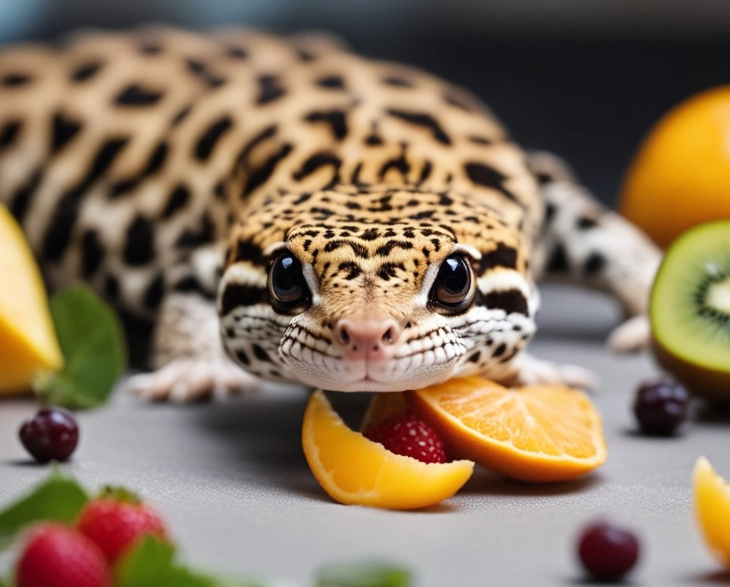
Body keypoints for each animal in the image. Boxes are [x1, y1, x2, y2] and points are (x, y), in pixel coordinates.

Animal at [0, 25, 661, 402]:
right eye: (285, 275)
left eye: (455, 278)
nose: (366, 337)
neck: (380, 160)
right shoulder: (216, 233)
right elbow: (189, 289)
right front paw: (193, 367)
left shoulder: (534, 180)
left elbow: (613, 240)